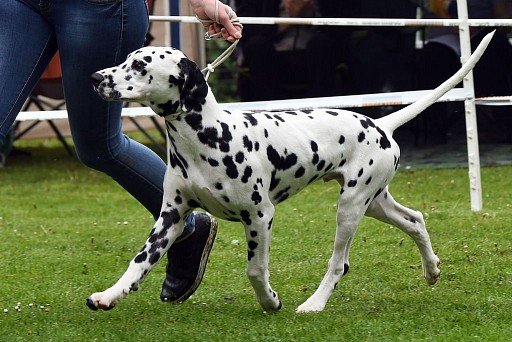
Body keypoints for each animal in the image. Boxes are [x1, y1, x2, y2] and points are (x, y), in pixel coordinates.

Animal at [86, 32, 494, 312]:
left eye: (140, 66)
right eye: (126, 58)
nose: (95, 77)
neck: (207, 135)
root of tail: (380, 124)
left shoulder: (260, 216)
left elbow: (255, 270)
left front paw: (270, 301)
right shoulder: (170, 217)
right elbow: (139, 262)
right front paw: (109, 295)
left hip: (350, 208)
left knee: (339, 263)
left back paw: (314, 303)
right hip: (375, 203)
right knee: (416, 220)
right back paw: (432, 270)